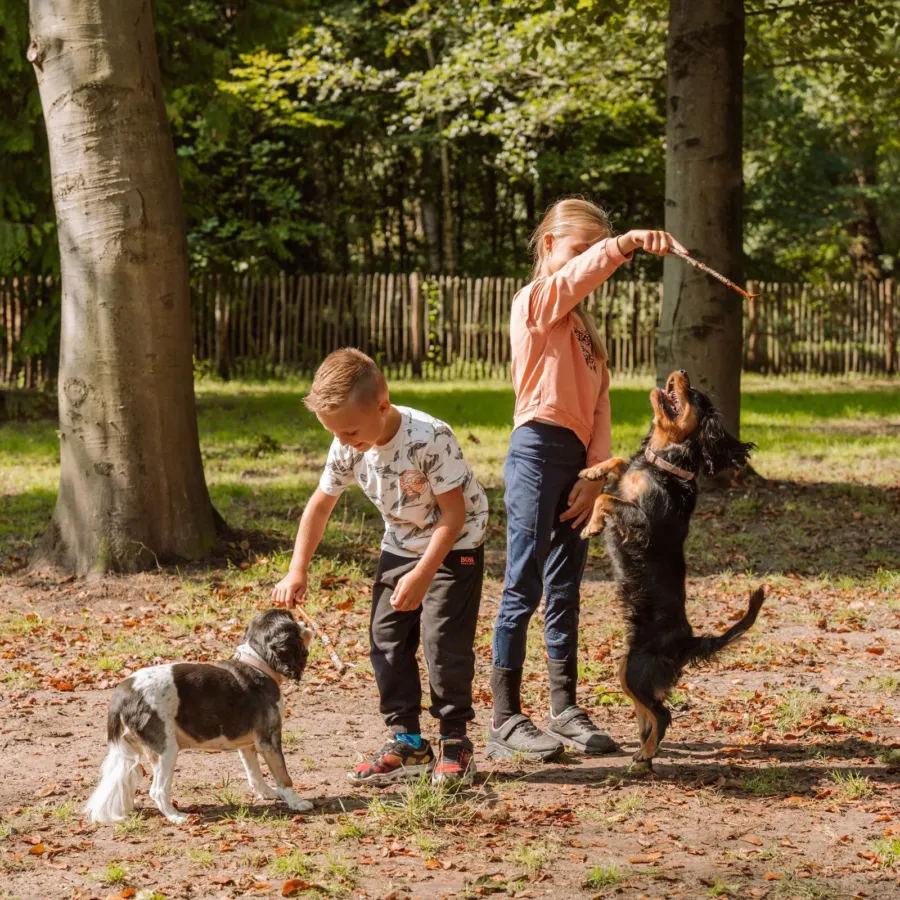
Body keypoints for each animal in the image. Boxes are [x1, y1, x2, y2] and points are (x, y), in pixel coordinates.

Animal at [580, 370, 764, 768]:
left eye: (693, 395)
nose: (681, 373)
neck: (662, 464)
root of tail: (688, 642)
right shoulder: (629, 476)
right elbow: (617, 462)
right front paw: (591, 469)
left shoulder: (640, 520)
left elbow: (606, 498)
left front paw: (591, 525)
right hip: (628, 669)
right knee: (652, 714)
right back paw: (644, 753)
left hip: (635, 671)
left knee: (663, 715)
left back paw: (645, 756)